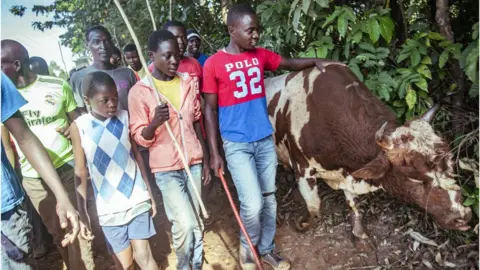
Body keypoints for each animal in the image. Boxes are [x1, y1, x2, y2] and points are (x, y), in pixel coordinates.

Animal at [266, 65, 472, 238]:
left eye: (450, 161)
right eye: (413, 176)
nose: (462, 215)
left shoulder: (349, 174)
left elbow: (353, 202)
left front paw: (359, 232)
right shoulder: (303, 167)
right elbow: (314, 206)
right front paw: (303, 224)